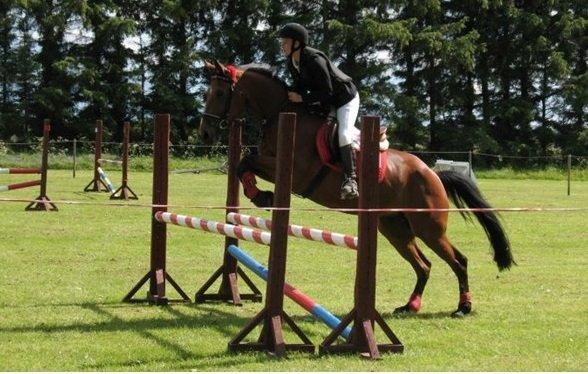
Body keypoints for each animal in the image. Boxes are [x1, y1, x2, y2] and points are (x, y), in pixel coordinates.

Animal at [200, 60, 512, 318]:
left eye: (219, 94)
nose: (204, 133)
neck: (281, 113)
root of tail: (432, 174)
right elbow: (242, 164)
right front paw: (261, 194)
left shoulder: (294, 171)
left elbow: (246, 161)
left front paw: (262, 195)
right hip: (394, 227)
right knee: (423, 265)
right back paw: (410, 306)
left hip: (429, 227)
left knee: (459, 261)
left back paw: (463, 307)